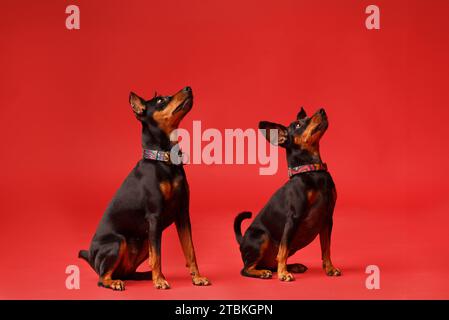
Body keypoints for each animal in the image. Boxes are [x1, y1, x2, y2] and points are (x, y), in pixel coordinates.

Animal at [78, 85, 209, 290]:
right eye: (160, 100)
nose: (188, 88)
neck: (164, 159)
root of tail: (91, 257)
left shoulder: (182, 214)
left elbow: (190, 250)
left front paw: (197, 277)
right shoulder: (154, 217)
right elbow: (158, 256)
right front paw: (160, 281)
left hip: (143, 242)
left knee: (129, 272)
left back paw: (146, 275)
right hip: (119, 241)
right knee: (102, 277)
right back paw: (117, 282)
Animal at [234, 109, 340, 282]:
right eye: (297, 125)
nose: (322, 110)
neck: (312, 171)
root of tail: (242, 240)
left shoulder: (327, 219)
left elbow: (326, 248)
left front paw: (330, 268)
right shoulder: (293, 218)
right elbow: (283, 250)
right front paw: (283, 274)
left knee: (270, 263)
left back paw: (293, 266)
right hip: (262, 237)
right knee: (246, 269)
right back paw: (263, 272)